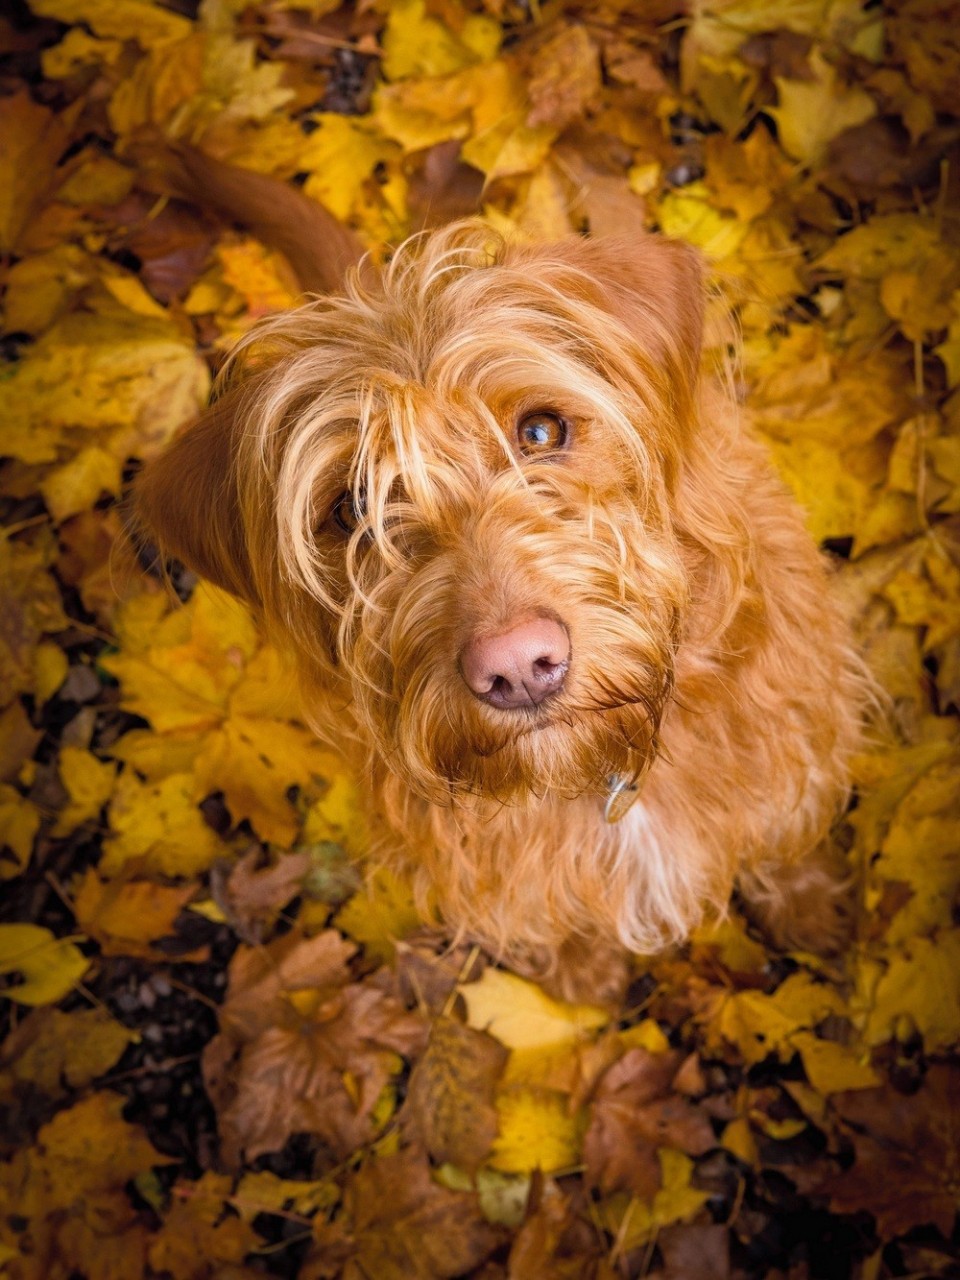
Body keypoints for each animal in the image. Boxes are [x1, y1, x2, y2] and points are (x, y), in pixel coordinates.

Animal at [133, 157, 870, 998]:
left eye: (541, 429)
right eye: (352, 507)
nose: (517, 667)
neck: (603, 775)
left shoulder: (794, 746)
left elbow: (786, 841)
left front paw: (815, 911)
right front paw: (582, 976)